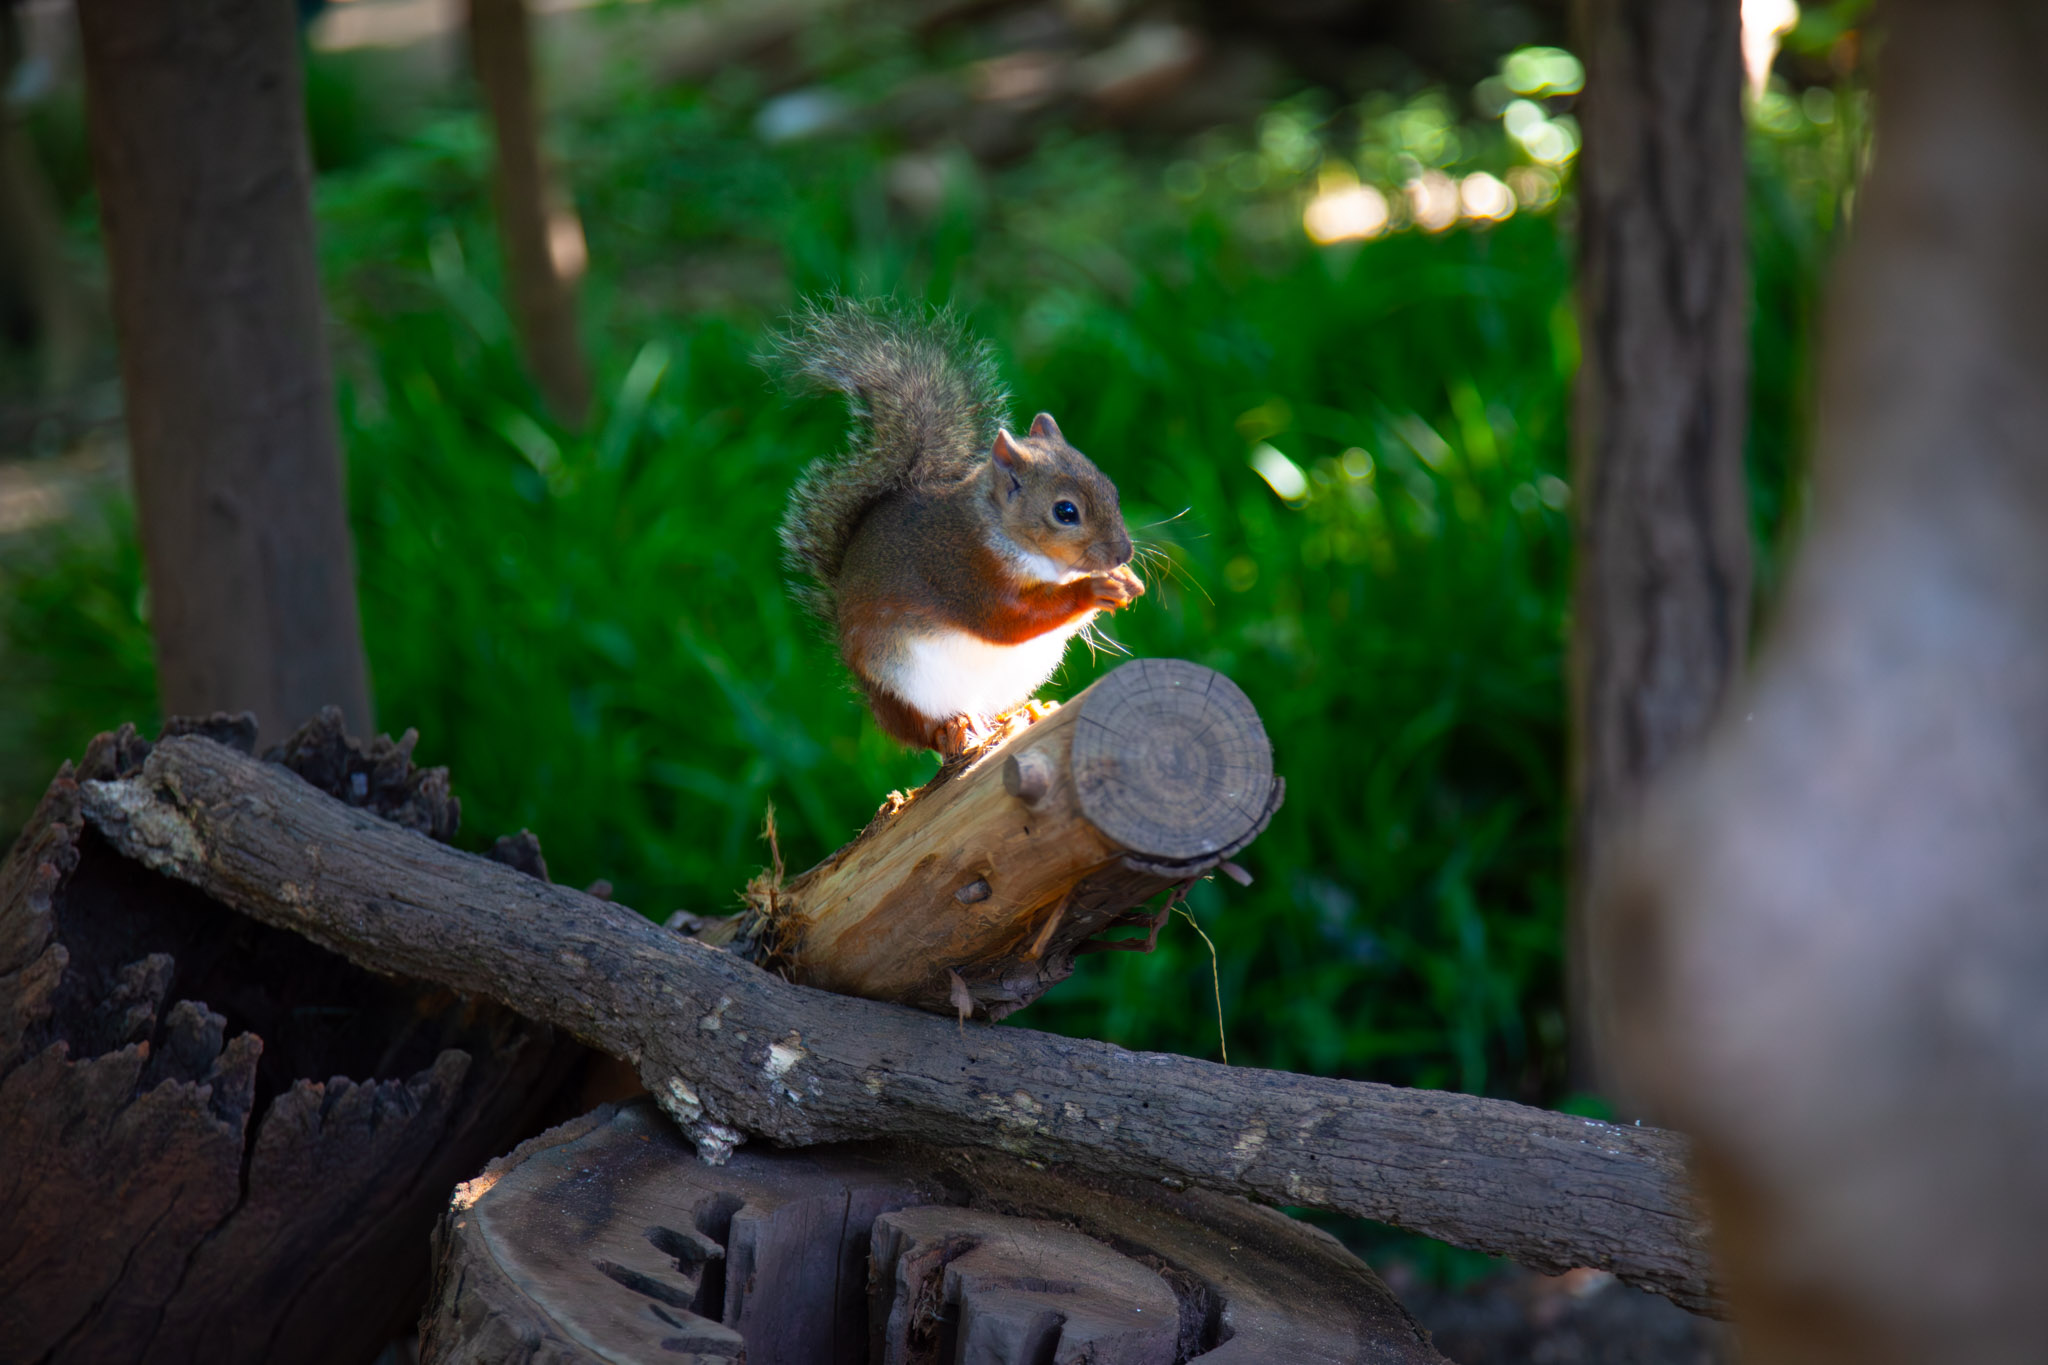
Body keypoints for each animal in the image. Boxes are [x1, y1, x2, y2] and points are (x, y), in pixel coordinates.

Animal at [775, 298, 1144, 758]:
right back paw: (955, 727)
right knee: (923, 731)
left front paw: (1125, 581)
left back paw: (1025, 712)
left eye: (1112, 490)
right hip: (908, 683)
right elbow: (1011, 619)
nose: (1123, 553)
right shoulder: (965, 571)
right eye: (1065, 512)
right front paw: (1093, 589)